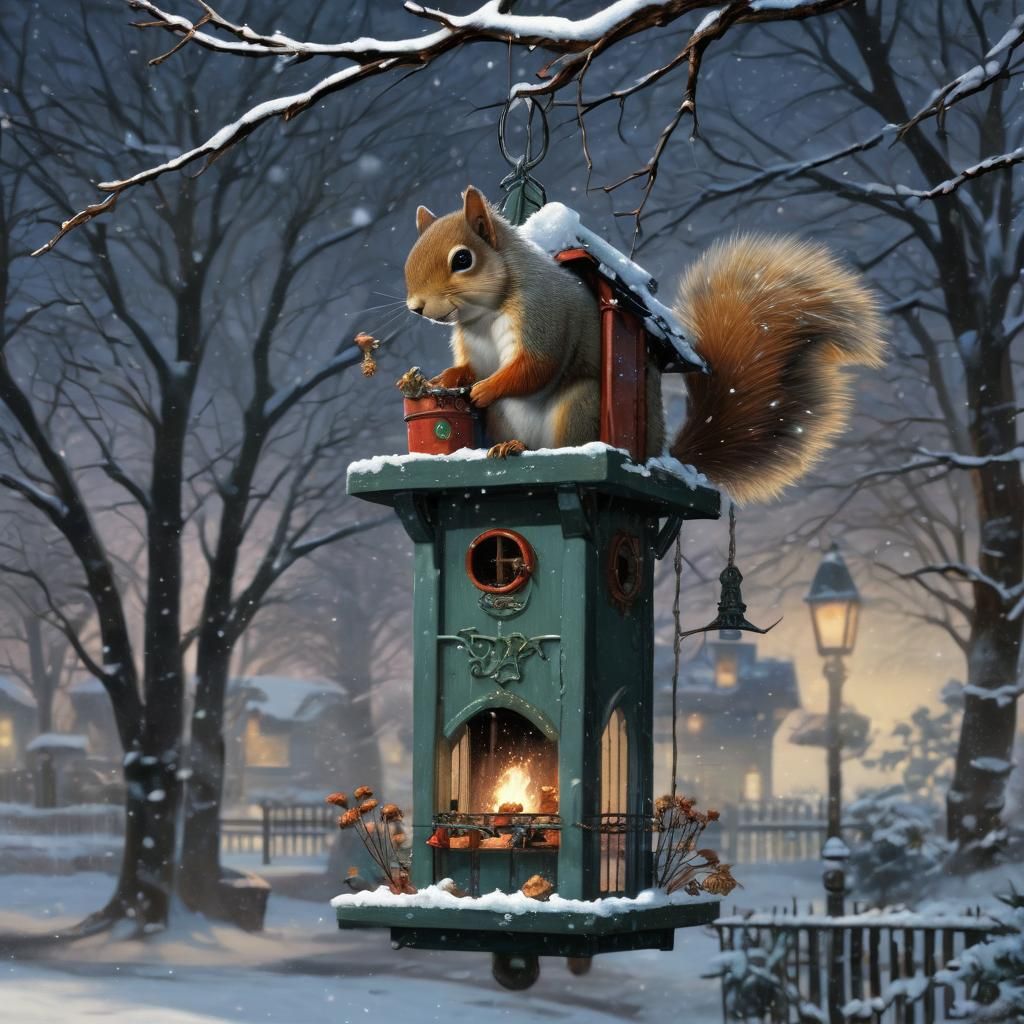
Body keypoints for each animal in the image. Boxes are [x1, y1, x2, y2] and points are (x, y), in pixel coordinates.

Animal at [404, 186, 884, 503]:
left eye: (462, 259)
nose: (416, 307)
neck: (483, 315)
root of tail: (657, 451)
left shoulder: (542, 315)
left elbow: (536, 366)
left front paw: (484, 389)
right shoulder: (473, 343)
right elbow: (470, 368)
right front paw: (446, 379)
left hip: (581, 405)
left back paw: (524, 448)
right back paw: (506, 446)